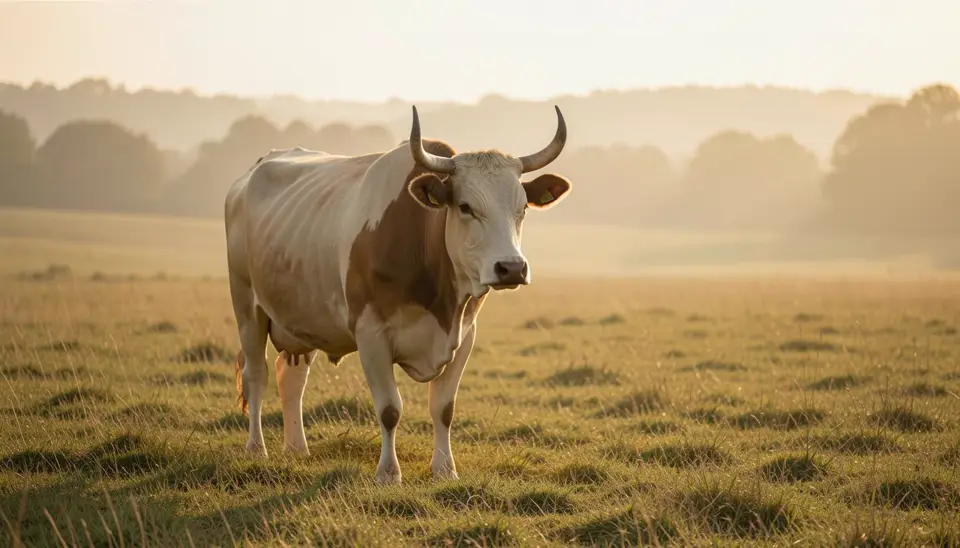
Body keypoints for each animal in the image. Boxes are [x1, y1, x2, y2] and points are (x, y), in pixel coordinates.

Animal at [224, 105, 572, 484]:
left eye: (522, 208)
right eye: (466, 206)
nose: (511, 268)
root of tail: (251, 173)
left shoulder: (465, 335)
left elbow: (444, 409)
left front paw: (444, 469)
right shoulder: (371, 334)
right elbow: (390, 409)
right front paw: (388, 473)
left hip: (302, 318)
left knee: (291, 379)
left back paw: (296, 448)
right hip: (247, 308)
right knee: (256, 375)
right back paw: (257, 448)